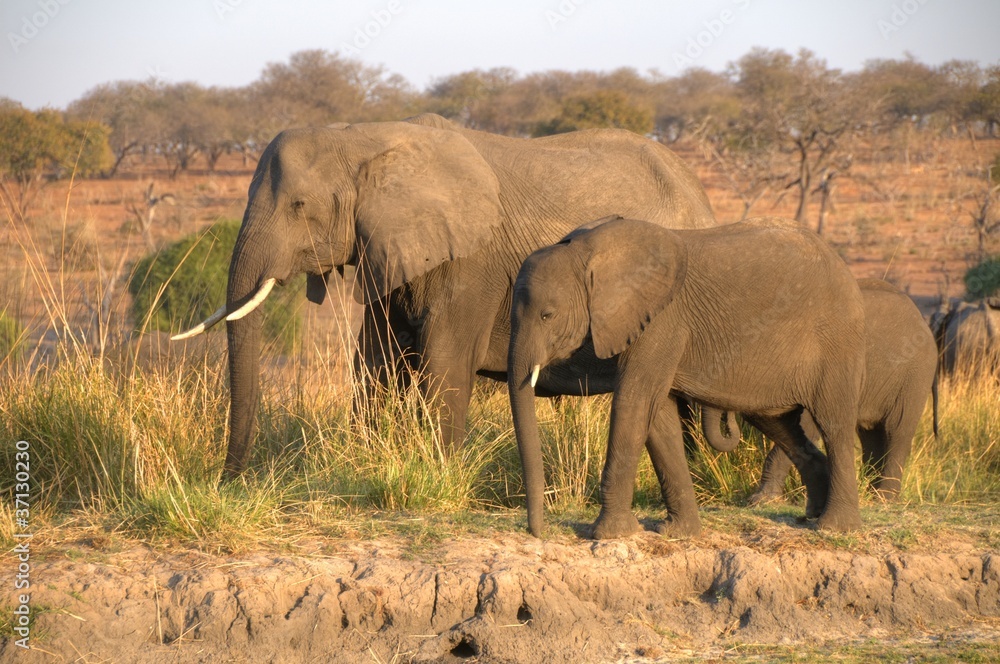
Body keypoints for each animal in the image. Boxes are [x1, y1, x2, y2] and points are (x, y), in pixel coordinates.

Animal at [174, 114, 720, 478]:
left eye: (299, 206)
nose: (229, 482)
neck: (365, 139)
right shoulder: (389, 249)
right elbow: (376, 361)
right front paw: (367, 461)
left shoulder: (472, 261)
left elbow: (444, 361)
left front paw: (441, 474)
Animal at [508, 215, 868, 536]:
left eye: (547, 315)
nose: (540, 532)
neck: (588, 250)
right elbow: (657, 416)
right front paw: (678, 533)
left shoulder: (661, 321)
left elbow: (634, 402)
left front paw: (606, 534)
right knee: (778, 423)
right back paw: (811, 515)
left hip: (836, 341)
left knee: (834, 423)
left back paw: (834, 527)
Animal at [700, 280, 940, 504]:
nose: (729, 421)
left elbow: (806, 426)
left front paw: (760, 500)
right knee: (871, 435)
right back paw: (870, 493)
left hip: (915, 376)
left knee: (896, 430)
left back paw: (883, 499)